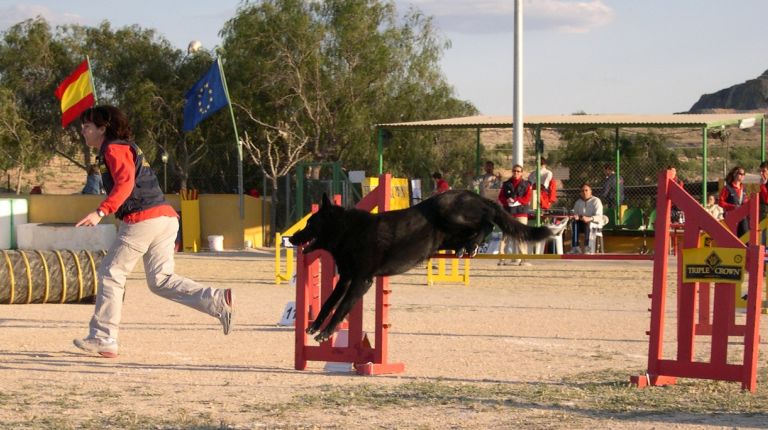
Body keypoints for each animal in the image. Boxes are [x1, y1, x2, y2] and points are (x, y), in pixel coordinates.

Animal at [292, 191, 548, 342]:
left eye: (310, 223)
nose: (292, 238)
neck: (348, 230)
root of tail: (475, 195)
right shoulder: (346, 279)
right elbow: (328, 303)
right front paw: (315, 327)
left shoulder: (361, 281)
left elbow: (342, 308)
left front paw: (326, 333)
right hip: (447, 236)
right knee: (478, 228)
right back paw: (467, 246)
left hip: (448, 212)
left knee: (487, 222)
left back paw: (474, 242)